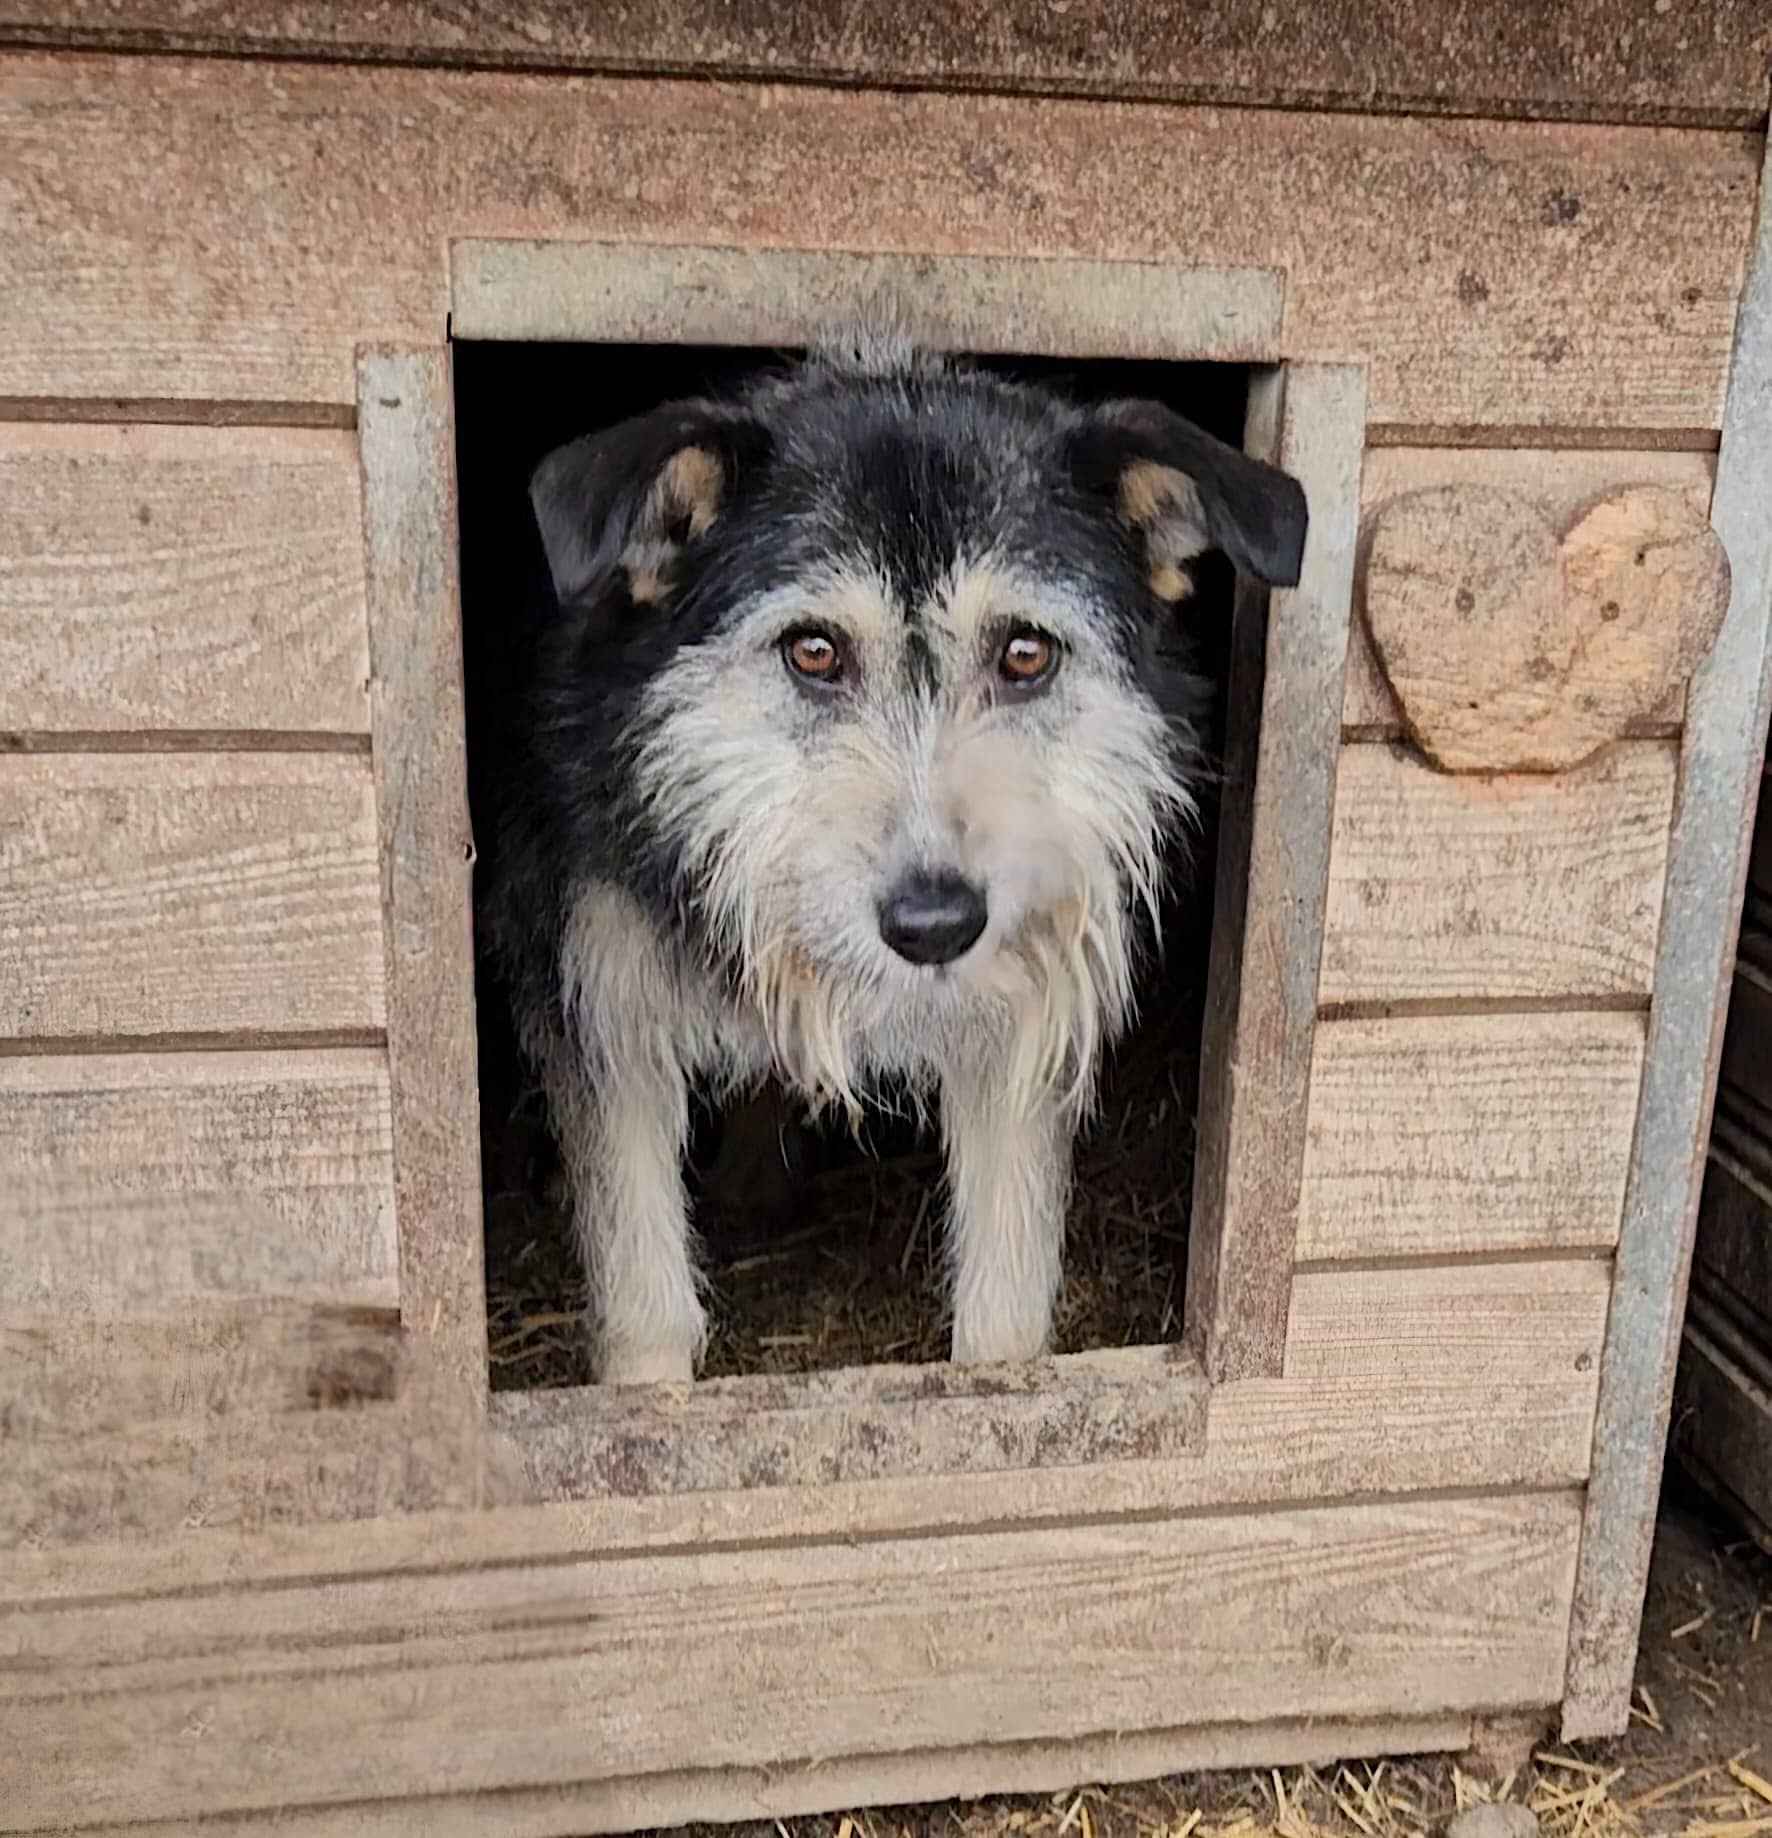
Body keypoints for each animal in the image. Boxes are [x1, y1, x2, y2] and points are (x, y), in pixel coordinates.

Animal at [479, 330, 1307, 1385]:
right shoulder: (600, 1014)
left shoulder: (1021, 1018)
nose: (936, 924)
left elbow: (1006, 1311)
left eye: (1027, 654)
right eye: (813, 651)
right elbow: (642, 1304)